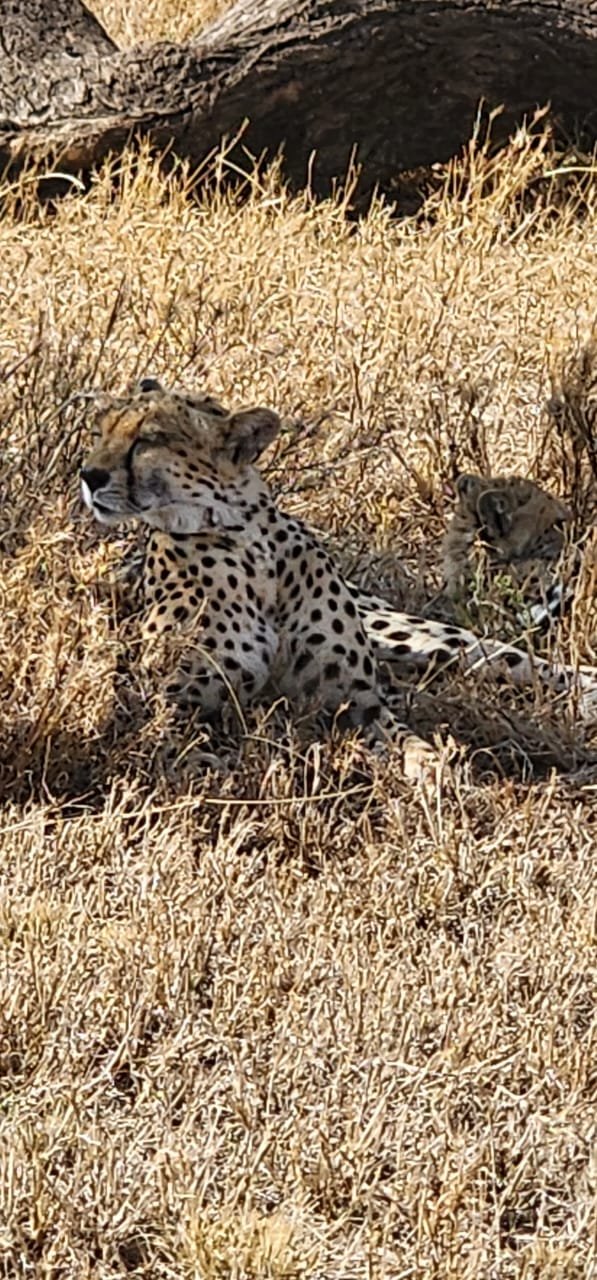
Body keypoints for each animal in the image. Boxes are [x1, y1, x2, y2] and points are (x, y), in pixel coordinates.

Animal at [80, 380, 597, 781]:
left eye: (148, 439)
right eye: (100, 431)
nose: (89, 475)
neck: (244, 539)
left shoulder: (359, 701)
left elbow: (412, 743)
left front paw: (437, 774)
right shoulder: (168, 701)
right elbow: (177, 746)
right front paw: (209, 770)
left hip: (413, 635)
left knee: (509, 658)